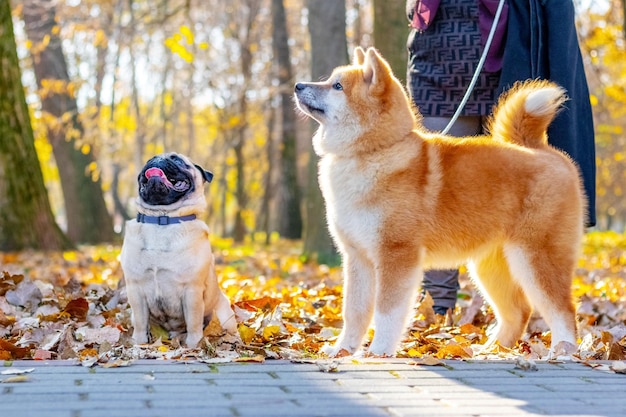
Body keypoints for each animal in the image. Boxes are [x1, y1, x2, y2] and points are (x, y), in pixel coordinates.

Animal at [119, 151, 236, 346]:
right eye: (150, 159)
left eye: (177, 160)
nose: (158, 160)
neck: (163, 218)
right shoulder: (135, 289)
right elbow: (141, 322)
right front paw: (139, 342)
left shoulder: (192, 290)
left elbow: (193, 322)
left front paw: (193, 344)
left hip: (224, 314)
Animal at [292, 47, 580, 356]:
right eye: (331, 81)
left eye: (337, 86)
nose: (298, 85)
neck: (376, 152)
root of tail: (541, 150)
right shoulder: (358, 257)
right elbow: (354, 312)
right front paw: (343, 350)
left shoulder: (396, 254)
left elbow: (387, 311)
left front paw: (379, 351)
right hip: (491, 266)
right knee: (519, 311)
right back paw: (490, 349)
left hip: (535, 258)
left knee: (563, 308)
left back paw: (563, 349)